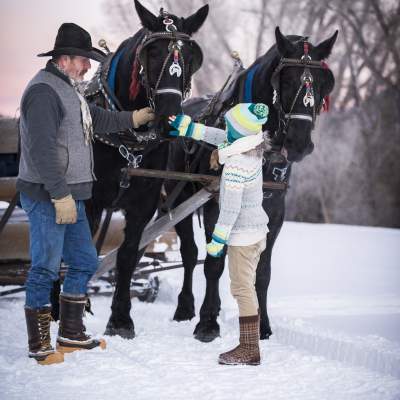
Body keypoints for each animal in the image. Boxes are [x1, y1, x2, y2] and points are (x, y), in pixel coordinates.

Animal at [85, 0, 209, 338]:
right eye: (152, 53)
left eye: (191, 57)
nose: (168, 117)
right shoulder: (89, 201)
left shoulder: (144, 202)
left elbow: (128, 255)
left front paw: (120, 319)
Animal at [166, 27, 338, 340]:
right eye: (286, 80)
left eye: (323, 83)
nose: (299, 143)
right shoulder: (214, 203)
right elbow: (213, 263)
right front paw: (207, 323)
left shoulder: (274, 210)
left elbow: (262, 271)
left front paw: (262, 325)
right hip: (177, 198)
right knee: (190, 253)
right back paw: (185, 307)